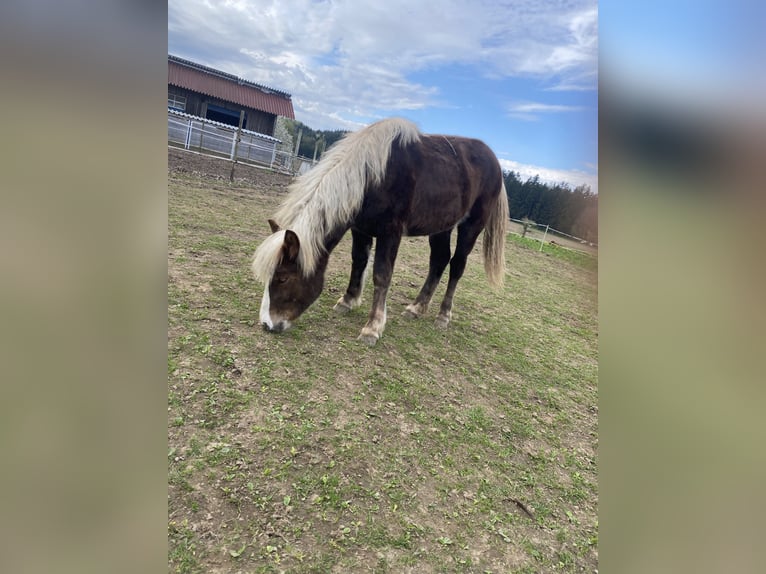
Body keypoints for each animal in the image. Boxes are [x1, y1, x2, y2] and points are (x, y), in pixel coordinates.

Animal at [252, 117, 508, 346]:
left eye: (283, 278)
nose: (267, 324)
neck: (372, 177)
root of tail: (495, 163)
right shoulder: (360, 229)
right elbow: (358, 262)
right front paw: (347, 301)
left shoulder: (390, 233)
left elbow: (381, 275)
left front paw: (372, 328)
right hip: (441, 227)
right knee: (439, 260)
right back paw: (417, 308)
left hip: (471, 226)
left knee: (456, 266)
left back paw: (443, 315)